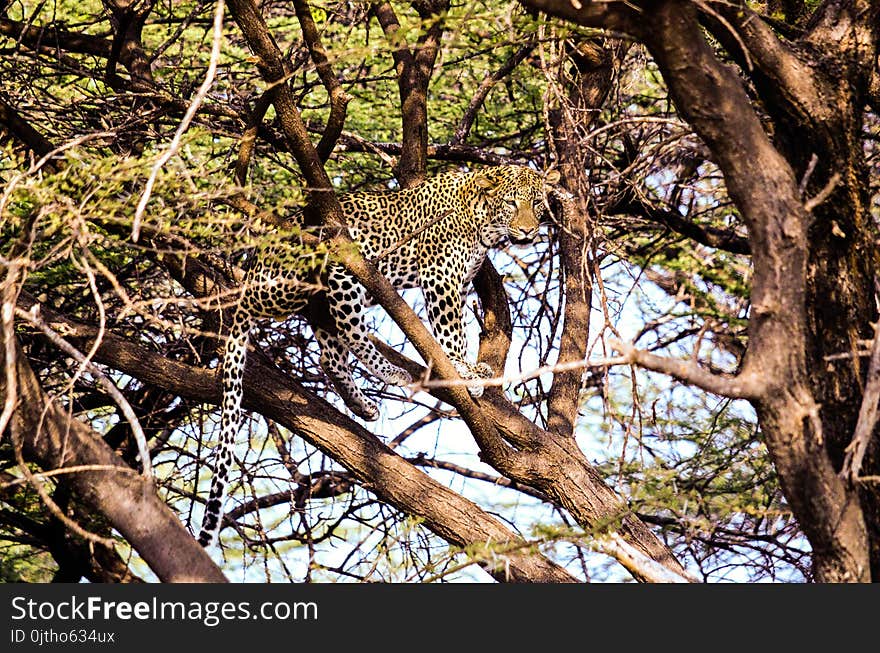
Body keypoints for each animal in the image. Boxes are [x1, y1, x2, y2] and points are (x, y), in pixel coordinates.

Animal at [197, 163, 560, 544]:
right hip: (336, 276)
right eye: (511, 202)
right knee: (342, 330)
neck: (481, 219)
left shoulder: (459, 282)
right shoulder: (441, 277)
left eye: (537, 203)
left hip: (321, 302)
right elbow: (450, 333)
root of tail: (256, 261)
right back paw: (391, 372)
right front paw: (464, 370)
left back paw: (362, 405)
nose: (528, 230)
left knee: (330, 354)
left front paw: (471, 369)